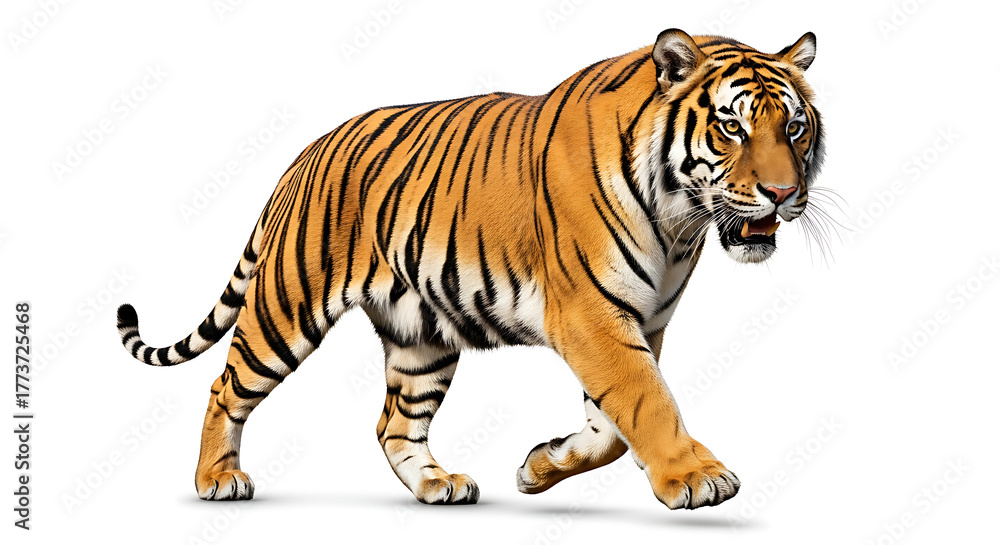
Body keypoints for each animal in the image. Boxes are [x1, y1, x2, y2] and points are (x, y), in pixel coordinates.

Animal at [116, 28, 824, 510]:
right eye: (731, 127)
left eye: (794, 127)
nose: (784, 194)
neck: (680, 224)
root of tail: (305, 155)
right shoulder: (593, 318)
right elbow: (648, 402)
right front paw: (697, 477)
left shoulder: (641, 324)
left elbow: (612, 428)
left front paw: (538, 468)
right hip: (287, 306)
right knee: (225, 386)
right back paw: (216, 479)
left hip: (421, 337)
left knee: (394, 424)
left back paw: (438, 484)